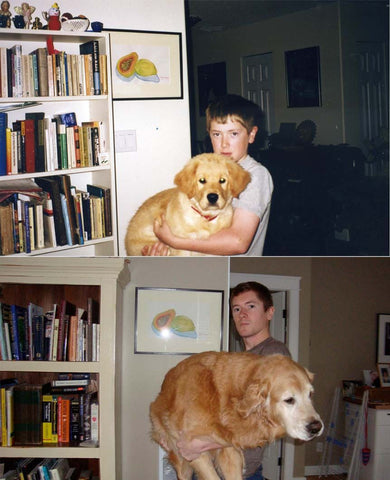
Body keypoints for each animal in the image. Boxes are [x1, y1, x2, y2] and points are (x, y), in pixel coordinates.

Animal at [149, 350, 322, 478]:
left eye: (310, 394)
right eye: (289, 400)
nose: (317, 427)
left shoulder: (229, 451)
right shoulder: (192, 450)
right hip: (180, 460)